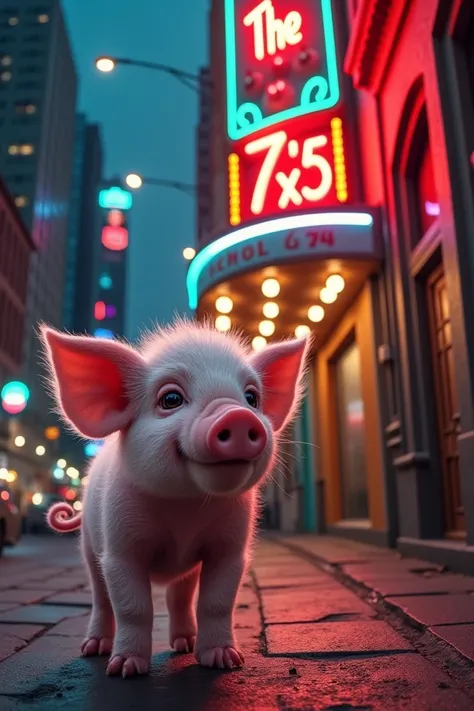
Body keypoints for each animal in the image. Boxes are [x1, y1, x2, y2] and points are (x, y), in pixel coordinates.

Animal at [39, 322, 310, 680]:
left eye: (251, 398)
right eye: (171, 399)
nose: (238, 416)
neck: (185, 508)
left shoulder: (230, 548)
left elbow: (217, 602)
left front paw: (225, 661)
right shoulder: (120, 547)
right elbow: (133, 606)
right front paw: (125, 670)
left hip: (185, 569)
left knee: (178, 596)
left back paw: (184, 645)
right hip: (88, 547)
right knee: (100, 597)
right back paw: (94, 649)